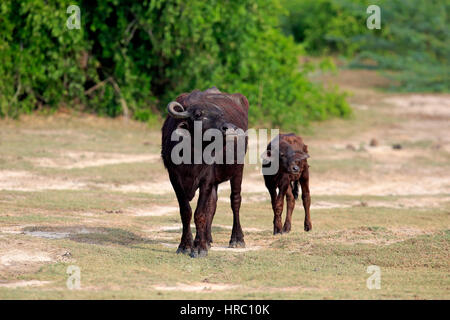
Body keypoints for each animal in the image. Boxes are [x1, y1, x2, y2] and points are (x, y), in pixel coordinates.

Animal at [161, 86, 248, 256]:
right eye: (198, 115)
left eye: (221, 114)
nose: (230, 129)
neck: (191, 155)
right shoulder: (174, 178)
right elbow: (186, 211)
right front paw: (186, 245)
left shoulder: (206, 179)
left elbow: (200, 213)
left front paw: (199, 249)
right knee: (212, 204)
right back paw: (206, 239)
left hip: (238, 169)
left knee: (235, 201)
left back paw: (236, 239)